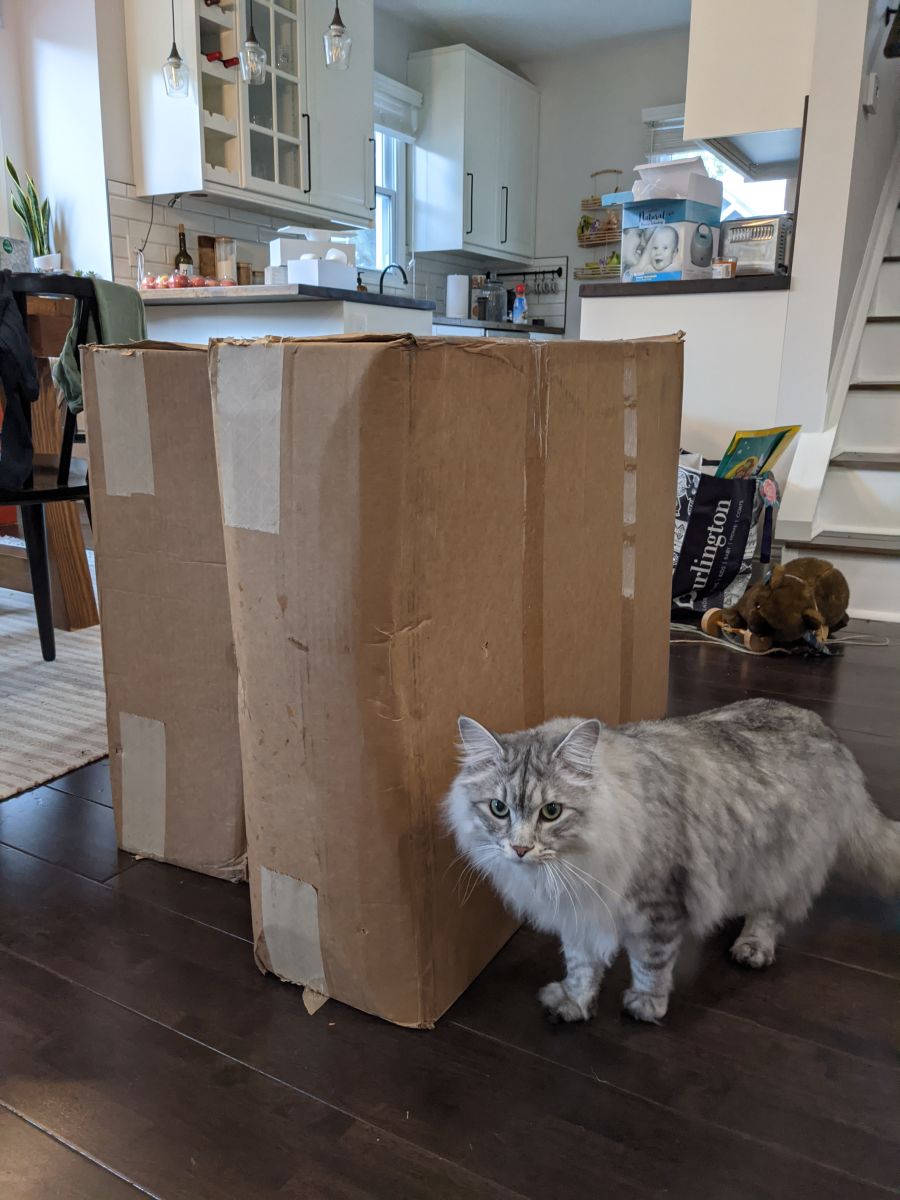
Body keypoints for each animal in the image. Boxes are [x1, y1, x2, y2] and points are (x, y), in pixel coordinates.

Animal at [446, 700, 900, 1027]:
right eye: (499, 808)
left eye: (551, 812)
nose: (520, 849)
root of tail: (827, 730)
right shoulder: (579, 912)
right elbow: (581, 965)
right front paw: (575, 1002)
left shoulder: (657, 907)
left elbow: (651, 964)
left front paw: (645, 1006)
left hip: (782, 861)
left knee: (770, 910)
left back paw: (752, 946)